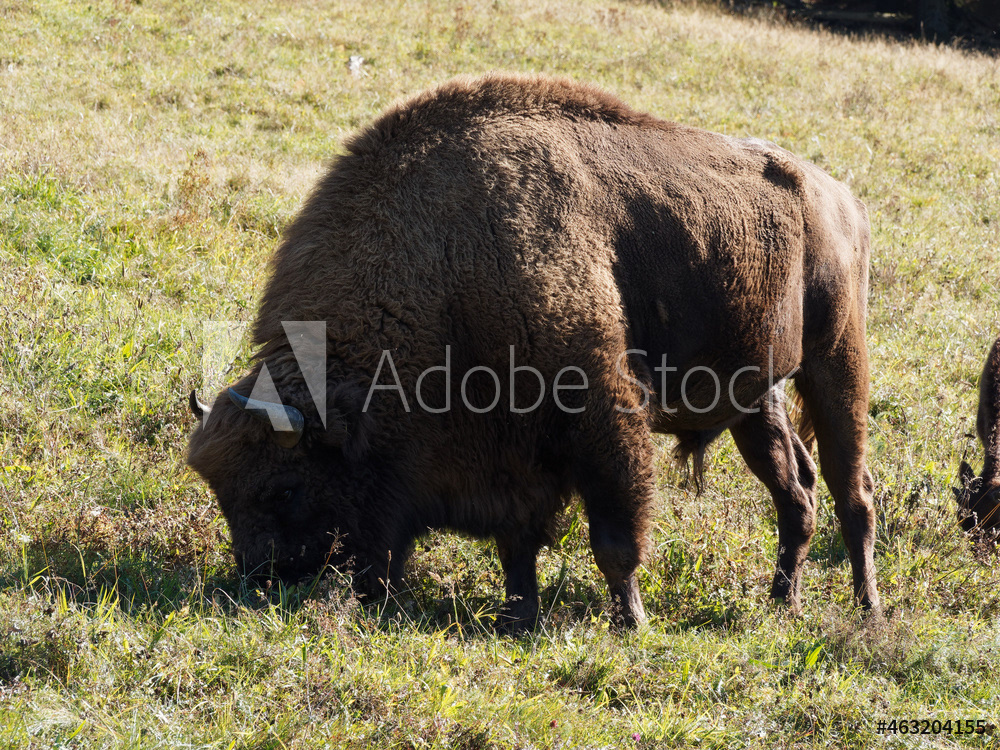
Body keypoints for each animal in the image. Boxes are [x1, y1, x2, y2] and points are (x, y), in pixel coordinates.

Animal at [188, 73, 881, 631]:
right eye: (220, 488)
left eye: (284, 488)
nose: (259, 580)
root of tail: (841, 197)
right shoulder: (507, 457)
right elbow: (517, 542)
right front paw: (519, 614)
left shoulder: (602, 417)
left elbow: (614, 537)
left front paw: (630, 620)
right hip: (755, 399)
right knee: (795, 492)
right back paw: (782, 601)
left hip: (836, 363)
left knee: (853, 492)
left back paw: (867, 607)